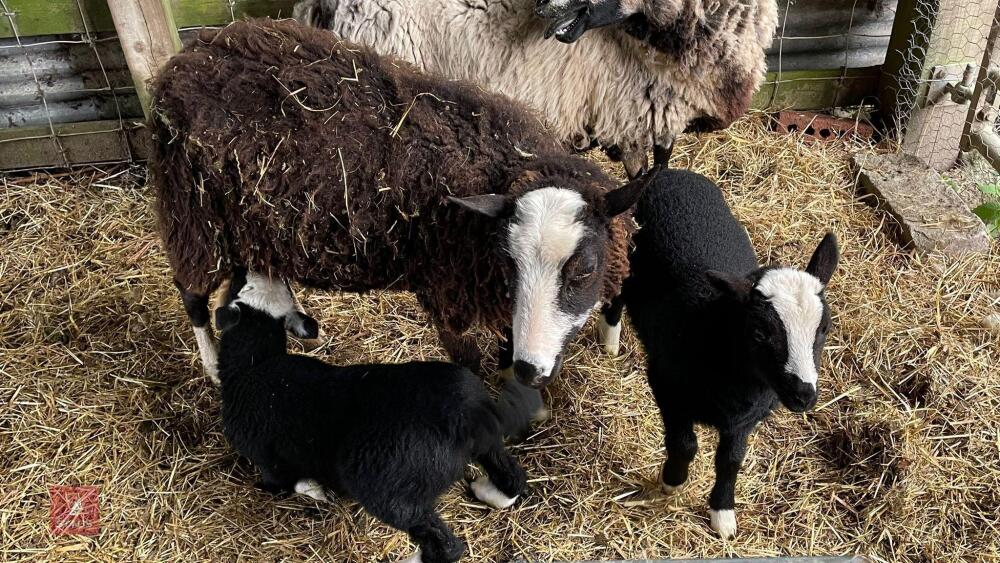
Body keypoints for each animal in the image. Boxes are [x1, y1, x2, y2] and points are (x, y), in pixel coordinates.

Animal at [149, 19, 644, 390]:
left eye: (584, 270)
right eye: (509, 264)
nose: (530, 370)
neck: (498, 163)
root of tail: (185, 58)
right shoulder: (445, 289)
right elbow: (469, 362)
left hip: (248, 224)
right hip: (192, 214)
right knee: (192, 295)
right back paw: (213, 367)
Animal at [214, 269, 533, 563]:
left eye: (235, 287)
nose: (244, 267)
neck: (252, 365)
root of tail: (460, 422)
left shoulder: (269, 463)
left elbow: (283, 485)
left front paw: (313, 490)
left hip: (389, 492)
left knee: (446, 544)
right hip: (487, 440)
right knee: (512, 476)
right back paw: (489, 491)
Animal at [616, 169, 839, 538]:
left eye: (824, 329)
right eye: (760, 333)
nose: (804, 395)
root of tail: (668, 172)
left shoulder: (746, 419)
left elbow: (731, 460)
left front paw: (723, 514)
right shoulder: (667, 386)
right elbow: (685, 444)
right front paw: (672, 481)